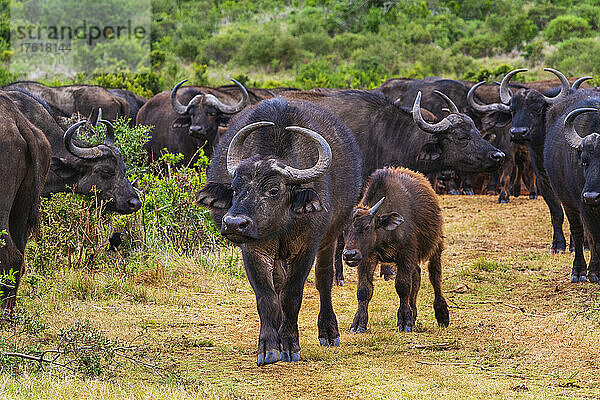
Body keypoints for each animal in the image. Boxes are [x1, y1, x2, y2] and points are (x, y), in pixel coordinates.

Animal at [199, 97, 364, 366]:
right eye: (234, 188)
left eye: (274, 190)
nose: (234, 223)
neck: (282, 224)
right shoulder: (252, 250)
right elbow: (267, 296)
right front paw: (269, 346)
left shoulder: (307, 246)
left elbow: (292, 294)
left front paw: (289, 343)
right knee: (277, 283)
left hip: (331, 236)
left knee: (323, 279)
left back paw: (328, 331)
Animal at [342, 167, 450, 332]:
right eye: (344, 230)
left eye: (367, 227)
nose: (349, 255)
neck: (385, 234)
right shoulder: (367, 257)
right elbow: (364, 290)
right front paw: (359, 323)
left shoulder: (405, 254)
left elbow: (403, 286)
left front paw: (404, 322)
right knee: (416, 276)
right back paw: (414, 312)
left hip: (436, 244)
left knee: (435, 276)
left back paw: (442, 314)